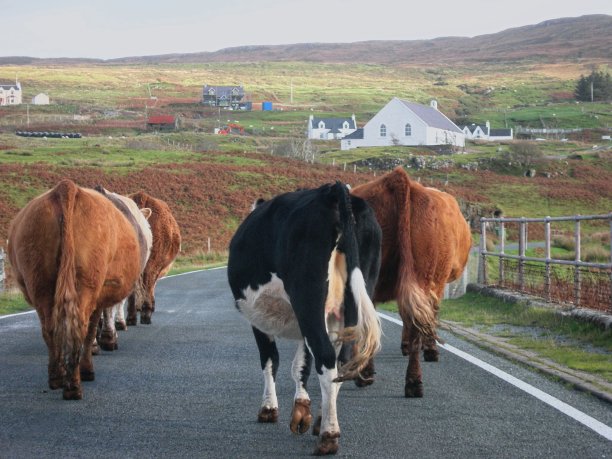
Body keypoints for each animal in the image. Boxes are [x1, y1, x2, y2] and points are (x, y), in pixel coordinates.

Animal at [7, 180, 152, 398]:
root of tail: (66, 188)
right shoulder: (105, 288)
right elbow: (101, 320)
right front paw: (108, 340)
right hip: (87, 283)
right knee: (81, 327)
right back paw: (76, 382)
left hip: (39, 282)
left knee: (51, 328)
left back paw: (57, 377)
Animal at [230, 181, 382, 456]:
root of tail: (331, 191)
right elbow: (301, 364)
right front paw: (301, 410)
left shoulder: (258, 319)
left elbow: (271, 360)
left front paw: (269, 408)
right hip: (353, 298)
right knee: (341, 361)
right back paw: (322, 421)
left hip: (307, 298)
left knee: (325, 355)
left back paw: (329, 435)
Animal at [352, 168, 470, 398]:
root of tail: (398, 178)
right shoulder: (437, 285)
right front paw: (430, 348)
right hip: (422, 276)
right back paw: (411, 381)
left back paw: (371, 375)